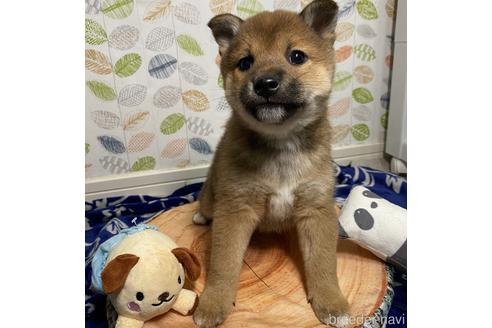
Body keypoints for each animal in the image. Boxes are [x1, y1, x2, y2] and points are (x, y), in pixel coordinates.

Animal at [192, 1, 350, 326]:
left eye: (296, 56)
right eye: (245, 63)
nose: (265, 84)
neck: (281, 144)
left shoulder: (316, 208)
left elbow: (323, 263)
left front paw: (331, 302)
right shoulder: (235, 208)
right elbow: (223, 265)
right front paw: (213, 303)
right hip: (213, 199)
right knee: (205, 205)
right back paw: (200, 216)